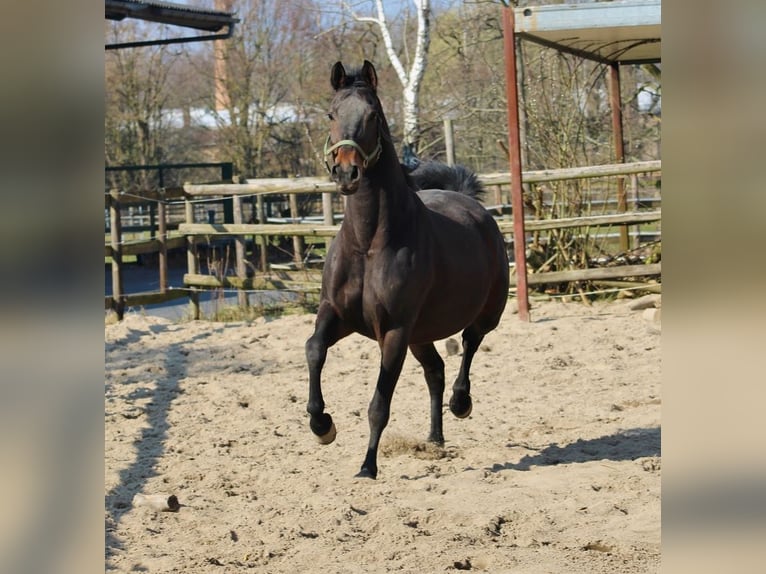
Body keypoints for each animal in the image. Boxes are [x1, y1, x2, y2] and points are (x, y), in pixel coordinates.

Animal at [306, 59, 510, 482]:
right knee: (435, 370)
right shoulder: (335, 314)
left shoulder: (394, 331)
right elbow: (314, 349)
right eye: (331, 114)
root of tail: (472, 205)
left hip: (482, 315)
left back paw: (461, 404)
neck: (369, 243)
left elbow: (379, 403)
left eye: (372, 115)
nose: (347, 173)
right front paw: (322, 426)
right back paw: (435, 438)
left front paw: (367, 467)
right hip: (422, 333)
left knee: (469, 345)